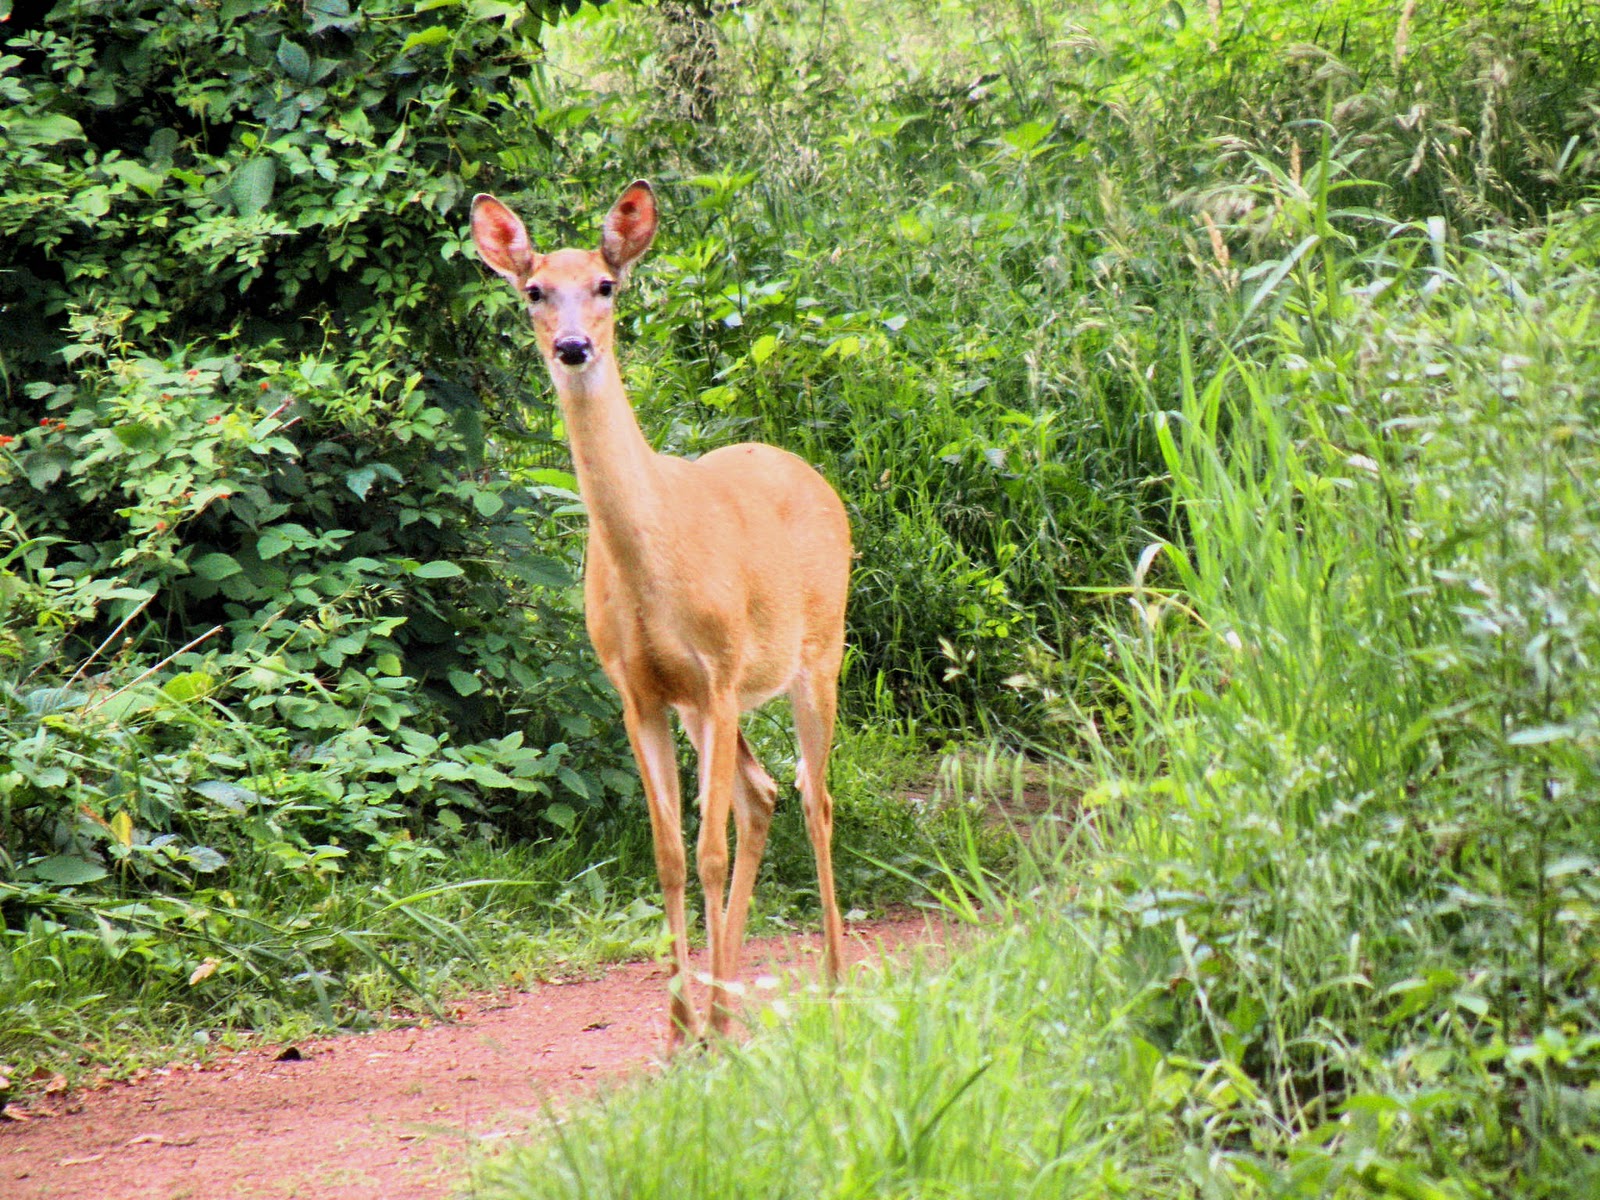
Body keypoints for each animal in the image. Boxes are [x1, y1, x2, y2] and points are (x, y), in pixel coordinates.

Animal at [470, 181, 851, 1047]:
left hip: (817, 652)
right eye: (534, 290)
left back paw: (834, 984)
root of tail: (811, 473)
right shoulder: (640, 692)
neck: (654, 567)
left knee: (814, 798)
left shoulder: (718, 670)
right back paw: (727, 1000)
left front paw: (701, 1028)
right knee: (763, 794)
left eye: (606, 284)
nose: (574, 346)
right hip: (714, 705)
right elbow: (670, 854)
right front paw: (680, 1031)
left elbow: (706, 852)